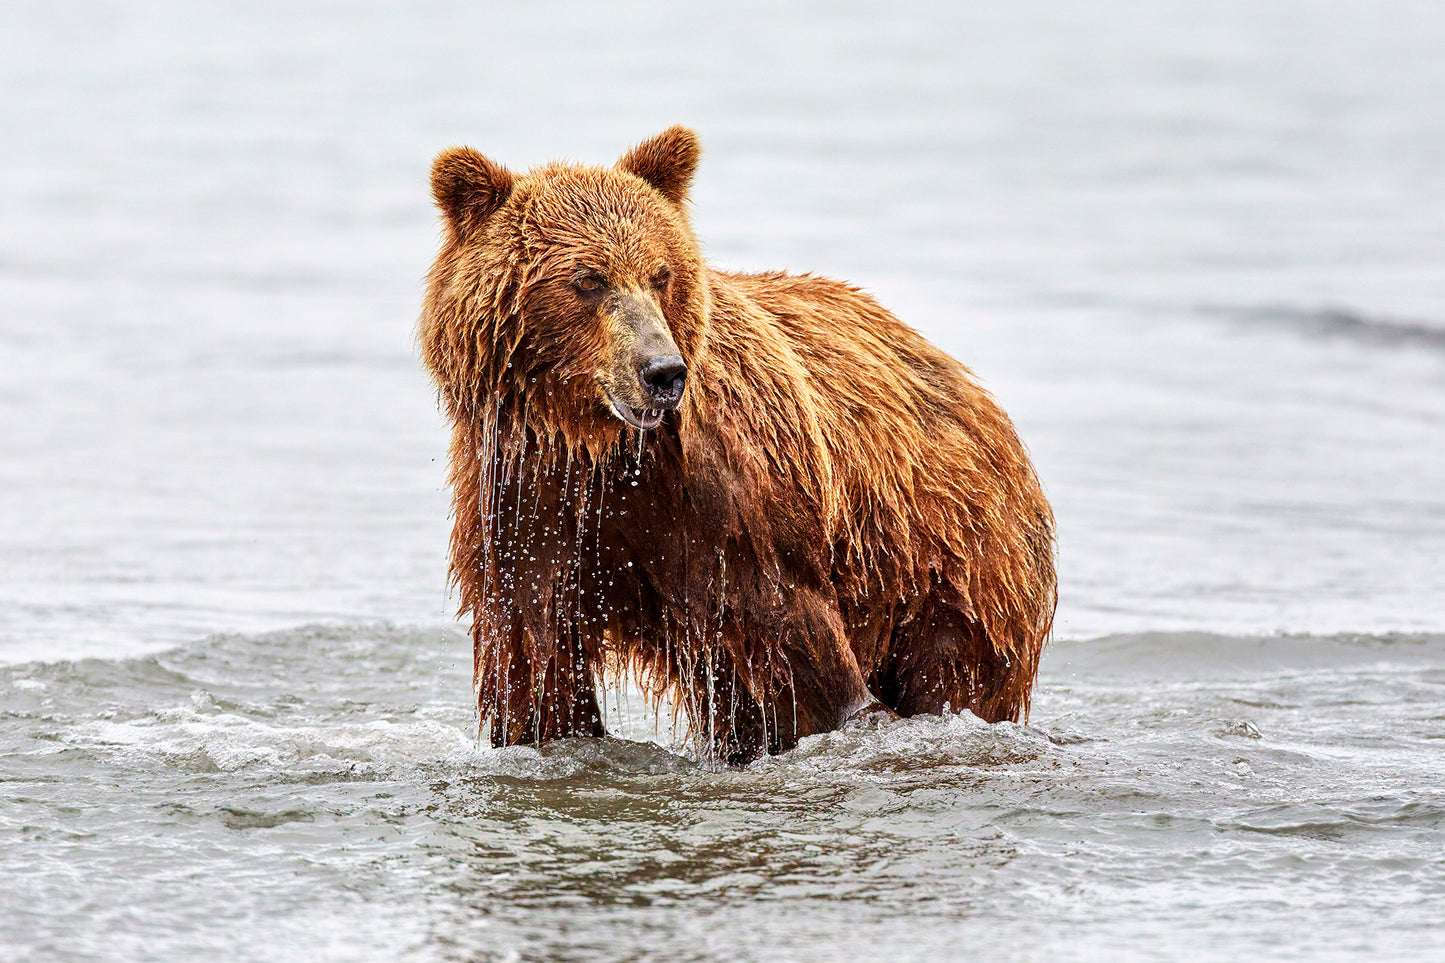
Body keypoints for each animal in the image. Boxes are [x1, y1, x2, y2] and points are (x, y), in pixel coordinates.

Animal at [420, 126, 1056, 763]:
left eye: (660, 274)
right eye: (588, 280)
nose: (663, 371)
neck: (604, 448)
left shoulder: (732, 511)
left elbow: (796, 651)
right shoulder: (528, 505)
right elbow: (535, 662)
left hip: (948, 563)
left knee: (949, 671)